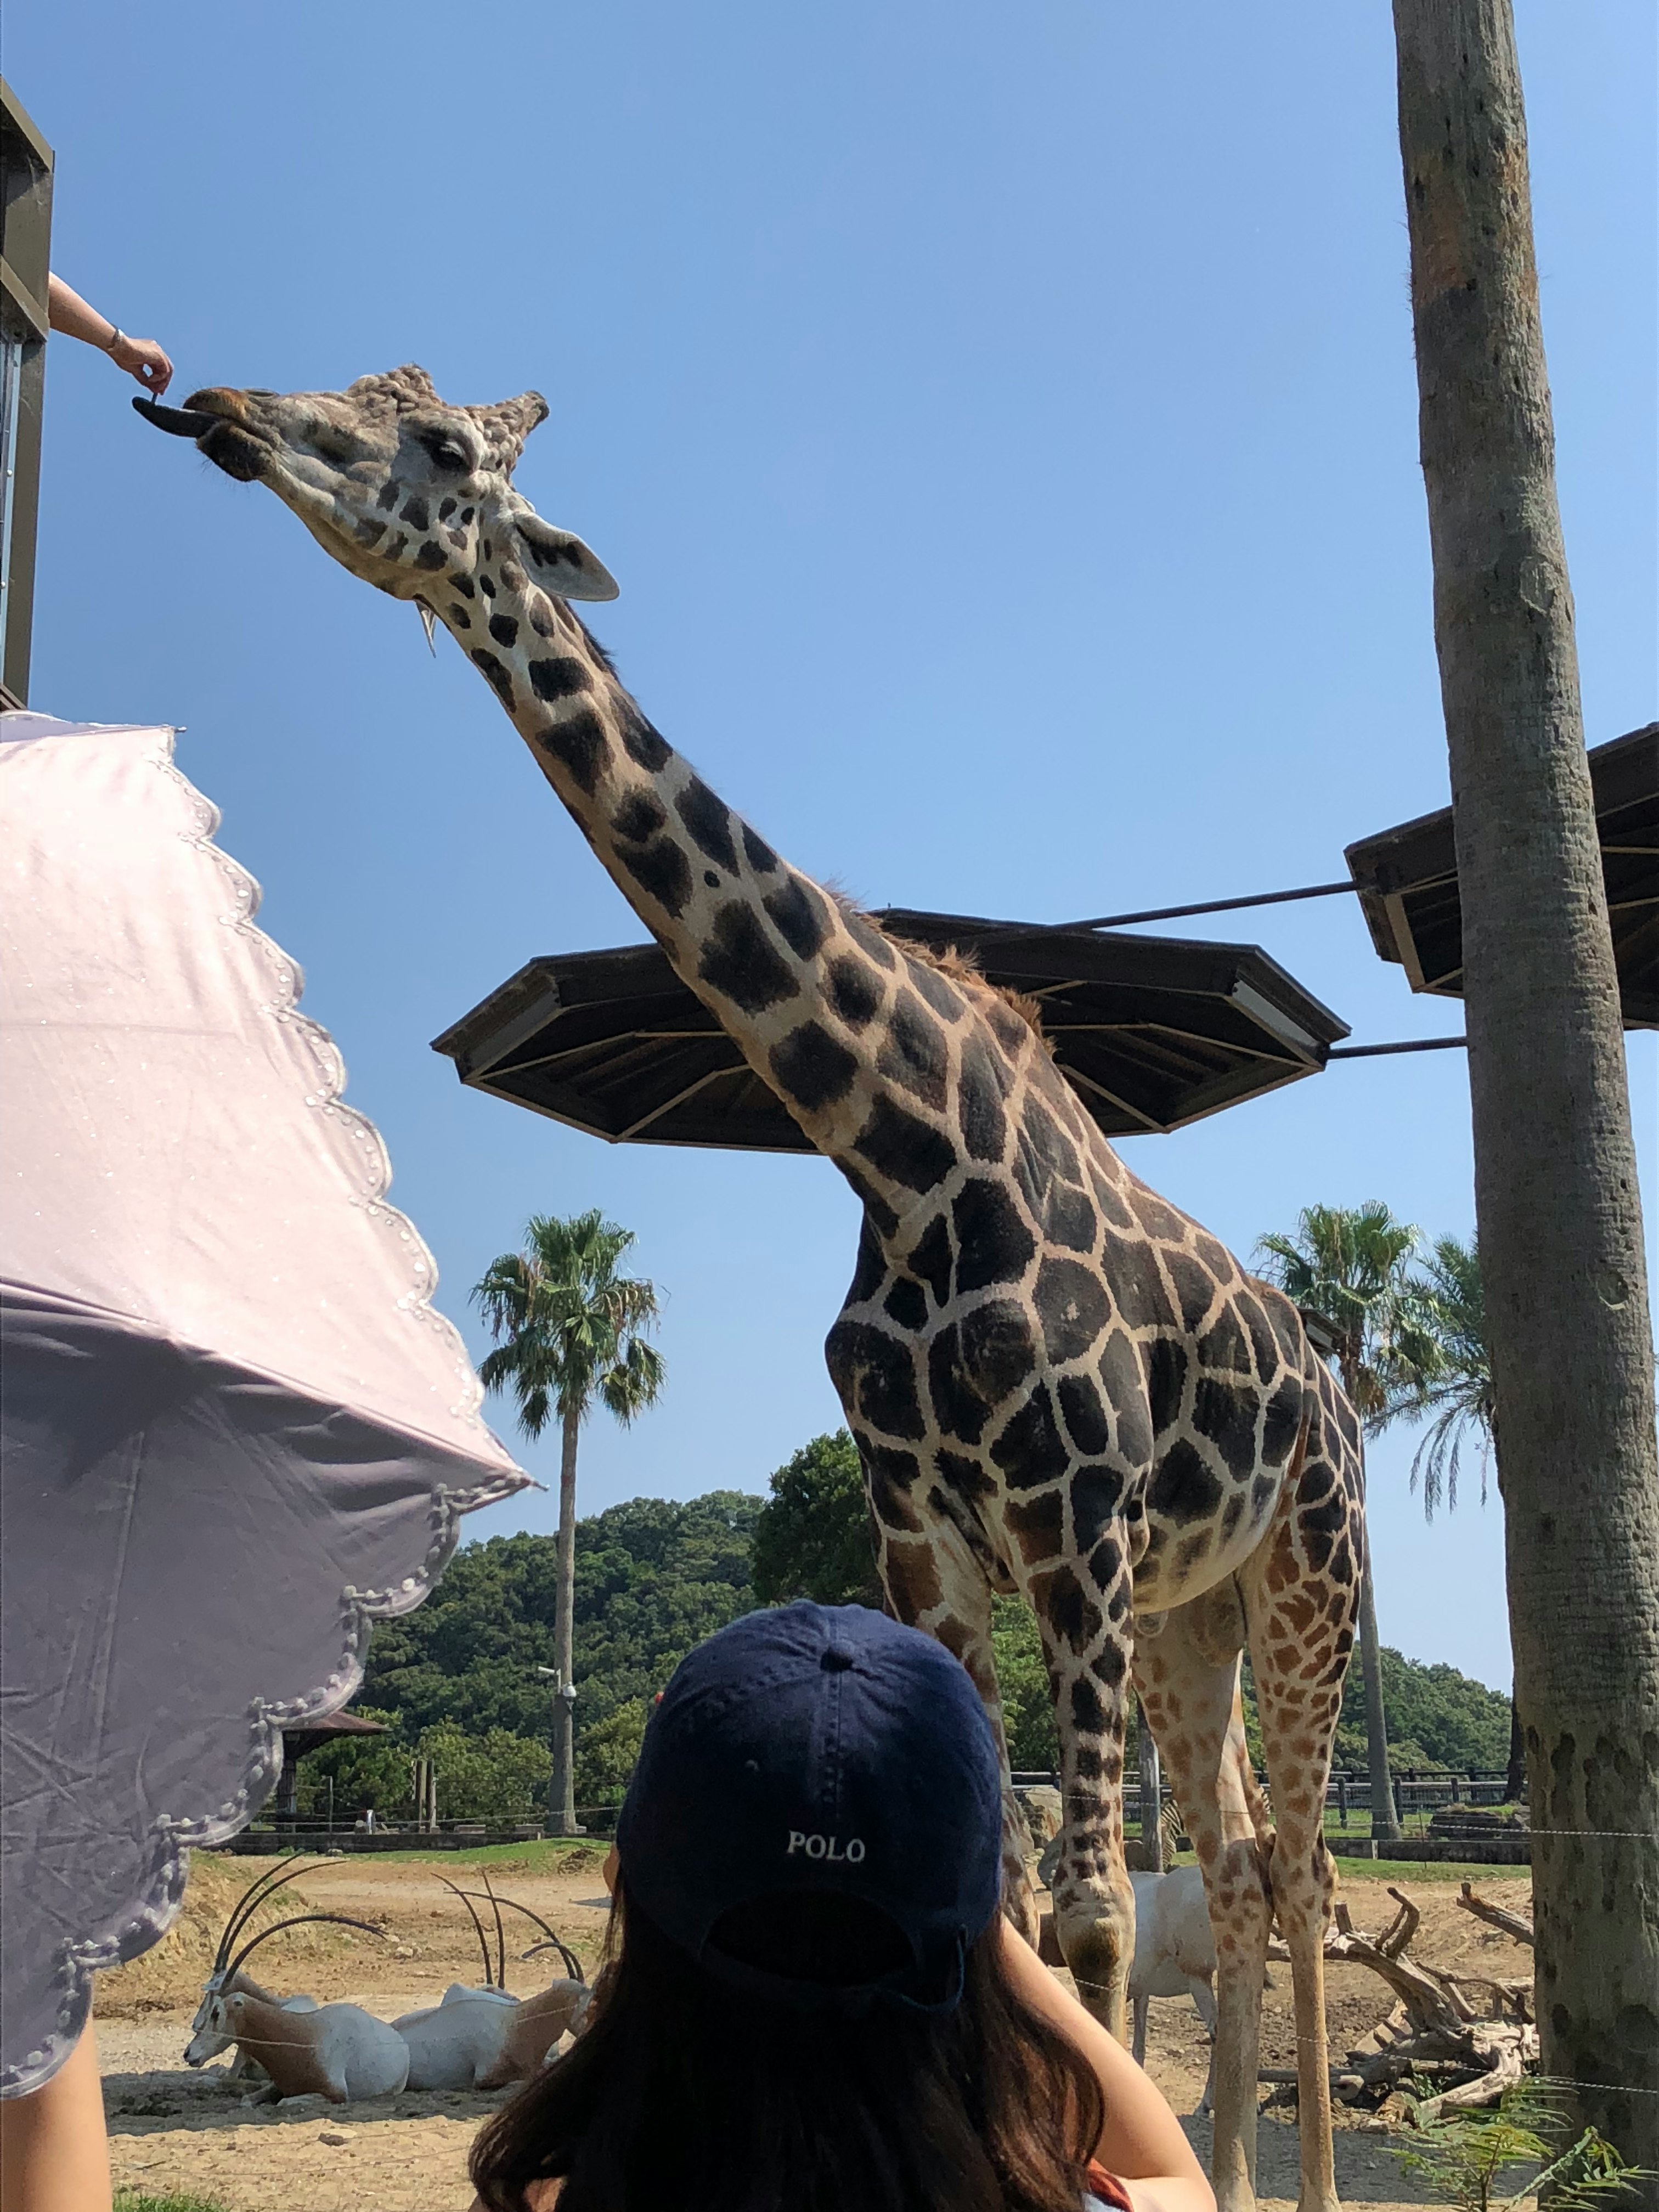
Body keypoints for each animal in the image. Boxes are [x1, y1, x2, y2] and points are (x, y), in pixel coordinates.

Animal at [139, 369, 1363, 2212]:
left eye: (442, 448)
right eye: (372, 388)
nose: (222, 407)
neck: (910, 1158)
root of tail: (1338, 1381)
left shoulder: (1072, 1518)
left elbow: (1083, 1914)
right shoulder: (932, 1536)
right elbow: (1014, 1907)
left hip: (1303, 1583)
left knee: (1297, 1866)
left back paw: (1306, 2182)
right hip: (1186, 1607)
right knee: (1225, 1861)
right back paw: (1220, 2162)